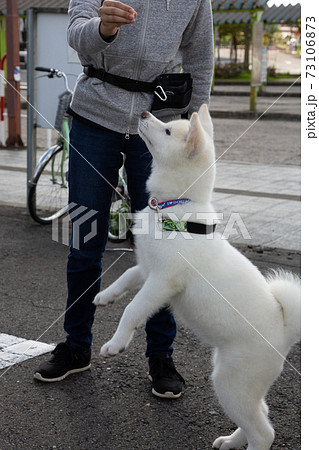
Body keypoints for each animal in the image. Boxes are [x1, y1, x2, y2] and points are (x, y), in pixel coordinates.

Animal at [94, 105, 302, 450]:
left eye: (167, 130)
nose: (144, 111)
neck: (174, 207)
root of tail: (285, 328)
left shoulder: (162, 281)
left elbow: (133, 311)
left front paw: (116, 343)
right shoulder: (147, 269)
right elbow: (124, 277)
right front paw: (104, 296)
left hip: (232, 382)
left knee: (264, 432)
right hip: (234, 382)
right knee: (260, 413)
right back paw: (231, 441)